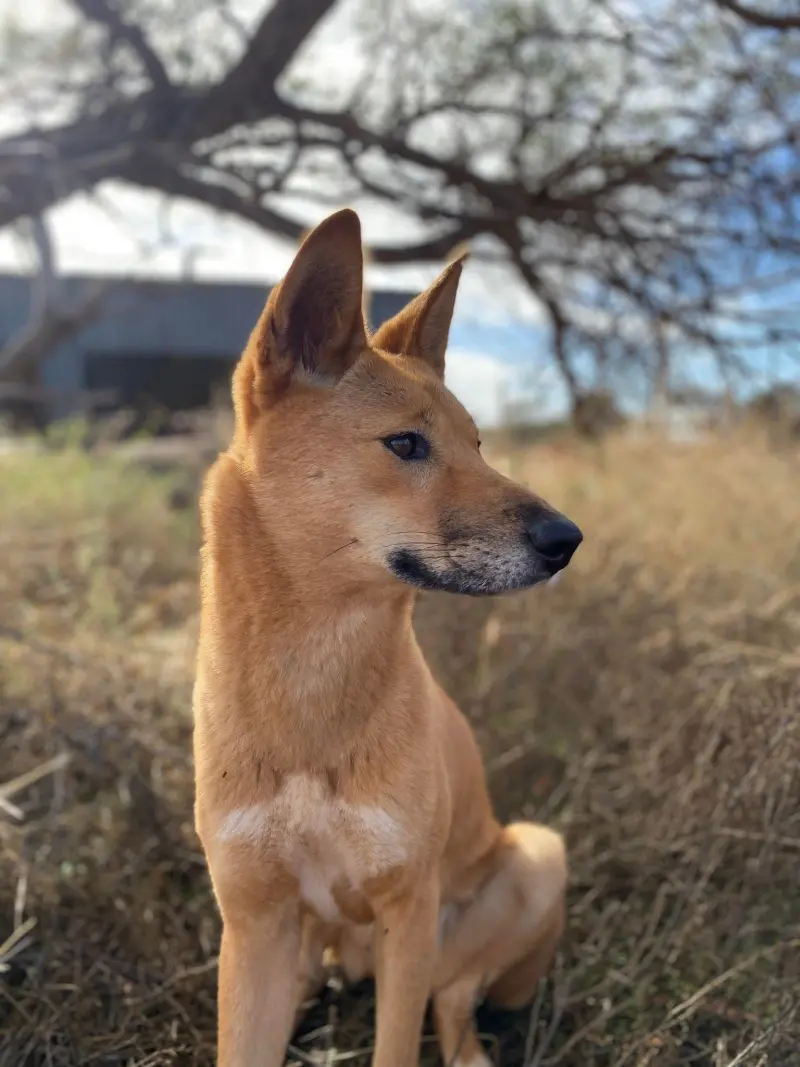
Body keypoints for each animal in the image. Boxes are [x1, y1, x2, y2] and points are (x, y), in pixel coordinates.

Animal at [194, 210, 584, 1067]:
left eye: (478, 444)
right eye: (405, 444)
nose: (567, 539)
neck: (313, 678)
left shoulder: (408, 911)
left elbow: (404, 1037)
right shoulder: (254, 925)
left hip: (531, 859)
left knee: (456, 999)